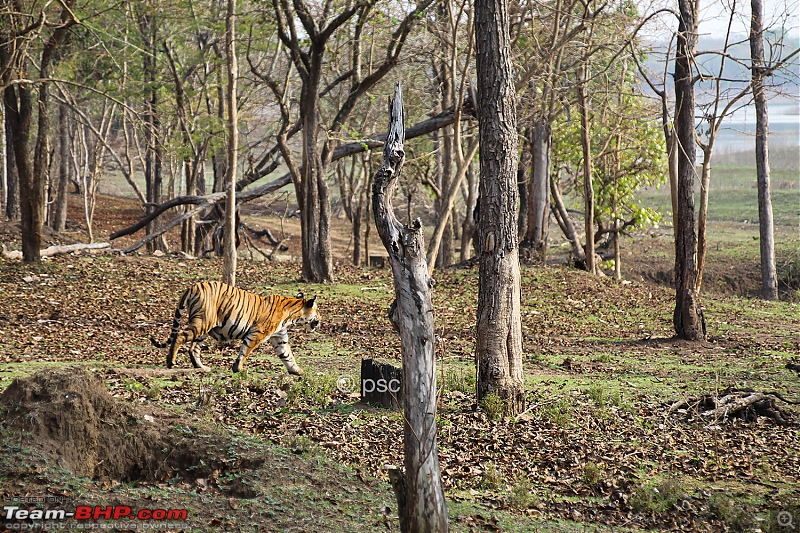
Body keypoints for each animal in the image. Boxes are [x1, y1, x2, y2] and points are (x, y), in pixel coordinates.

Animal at [152, 278, 320, 374]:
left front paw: (297, 371)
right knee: (180, 336)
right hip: (202, 322)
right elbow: (245, 350)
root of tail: (193, 286)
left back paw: (201, 367)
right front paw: (237, 368)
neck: (291, 314)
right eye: (318, 310)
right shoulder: (258, 333)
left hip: (204, 327)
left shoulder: (279, 337)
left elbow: (287, 355)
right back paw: (171, 361)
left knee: (193, 348)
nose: (321, 318)